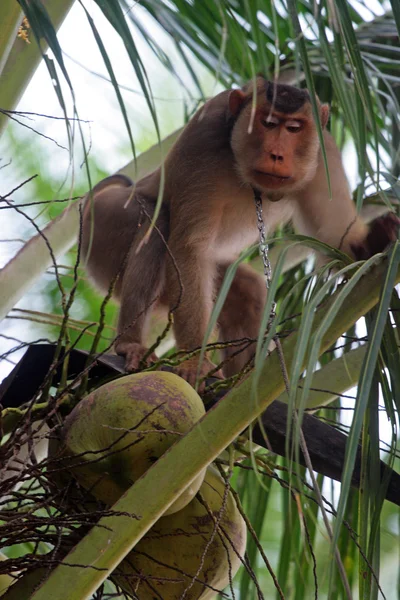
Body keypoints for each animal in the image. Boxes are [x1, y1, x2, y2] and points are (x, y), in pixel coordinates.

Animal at [79, 78, 398, 390]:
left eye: (294, 128)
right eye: (267, 123)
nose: (277, 154)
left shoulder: (323, 154)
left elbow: (336, 238)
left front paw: (377, 239)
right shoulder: (204, 138)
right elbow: (190, 248)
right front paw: (194, 361)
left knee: (246, 292)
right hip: (103, 228)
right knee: (156, 227)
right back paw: (130, 345)